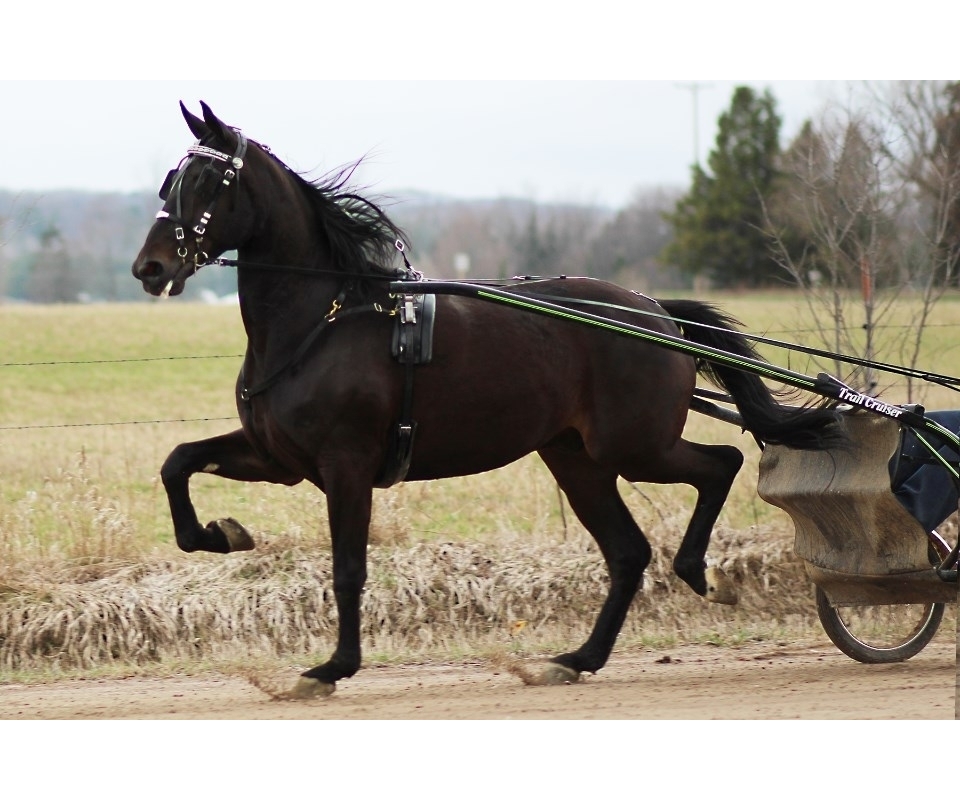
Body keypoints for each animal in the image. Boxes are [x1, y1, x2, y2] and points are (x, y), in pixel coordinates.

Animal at [132, 101, 844, 698]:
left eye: (207, 184)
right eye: (171, 181)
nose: (150, 268)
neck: (325, 319)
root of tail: (652, 312)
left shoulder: (345, 465)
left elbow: (349, 568)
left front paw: (332, 668)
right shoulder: (279, 457)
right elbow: (177, 462)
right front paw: (219, 534)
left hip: (635, 445)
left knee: (721, 464)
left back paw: (700, 573)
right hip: (577, 458)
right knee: (627, 551)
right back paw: (577, 659)